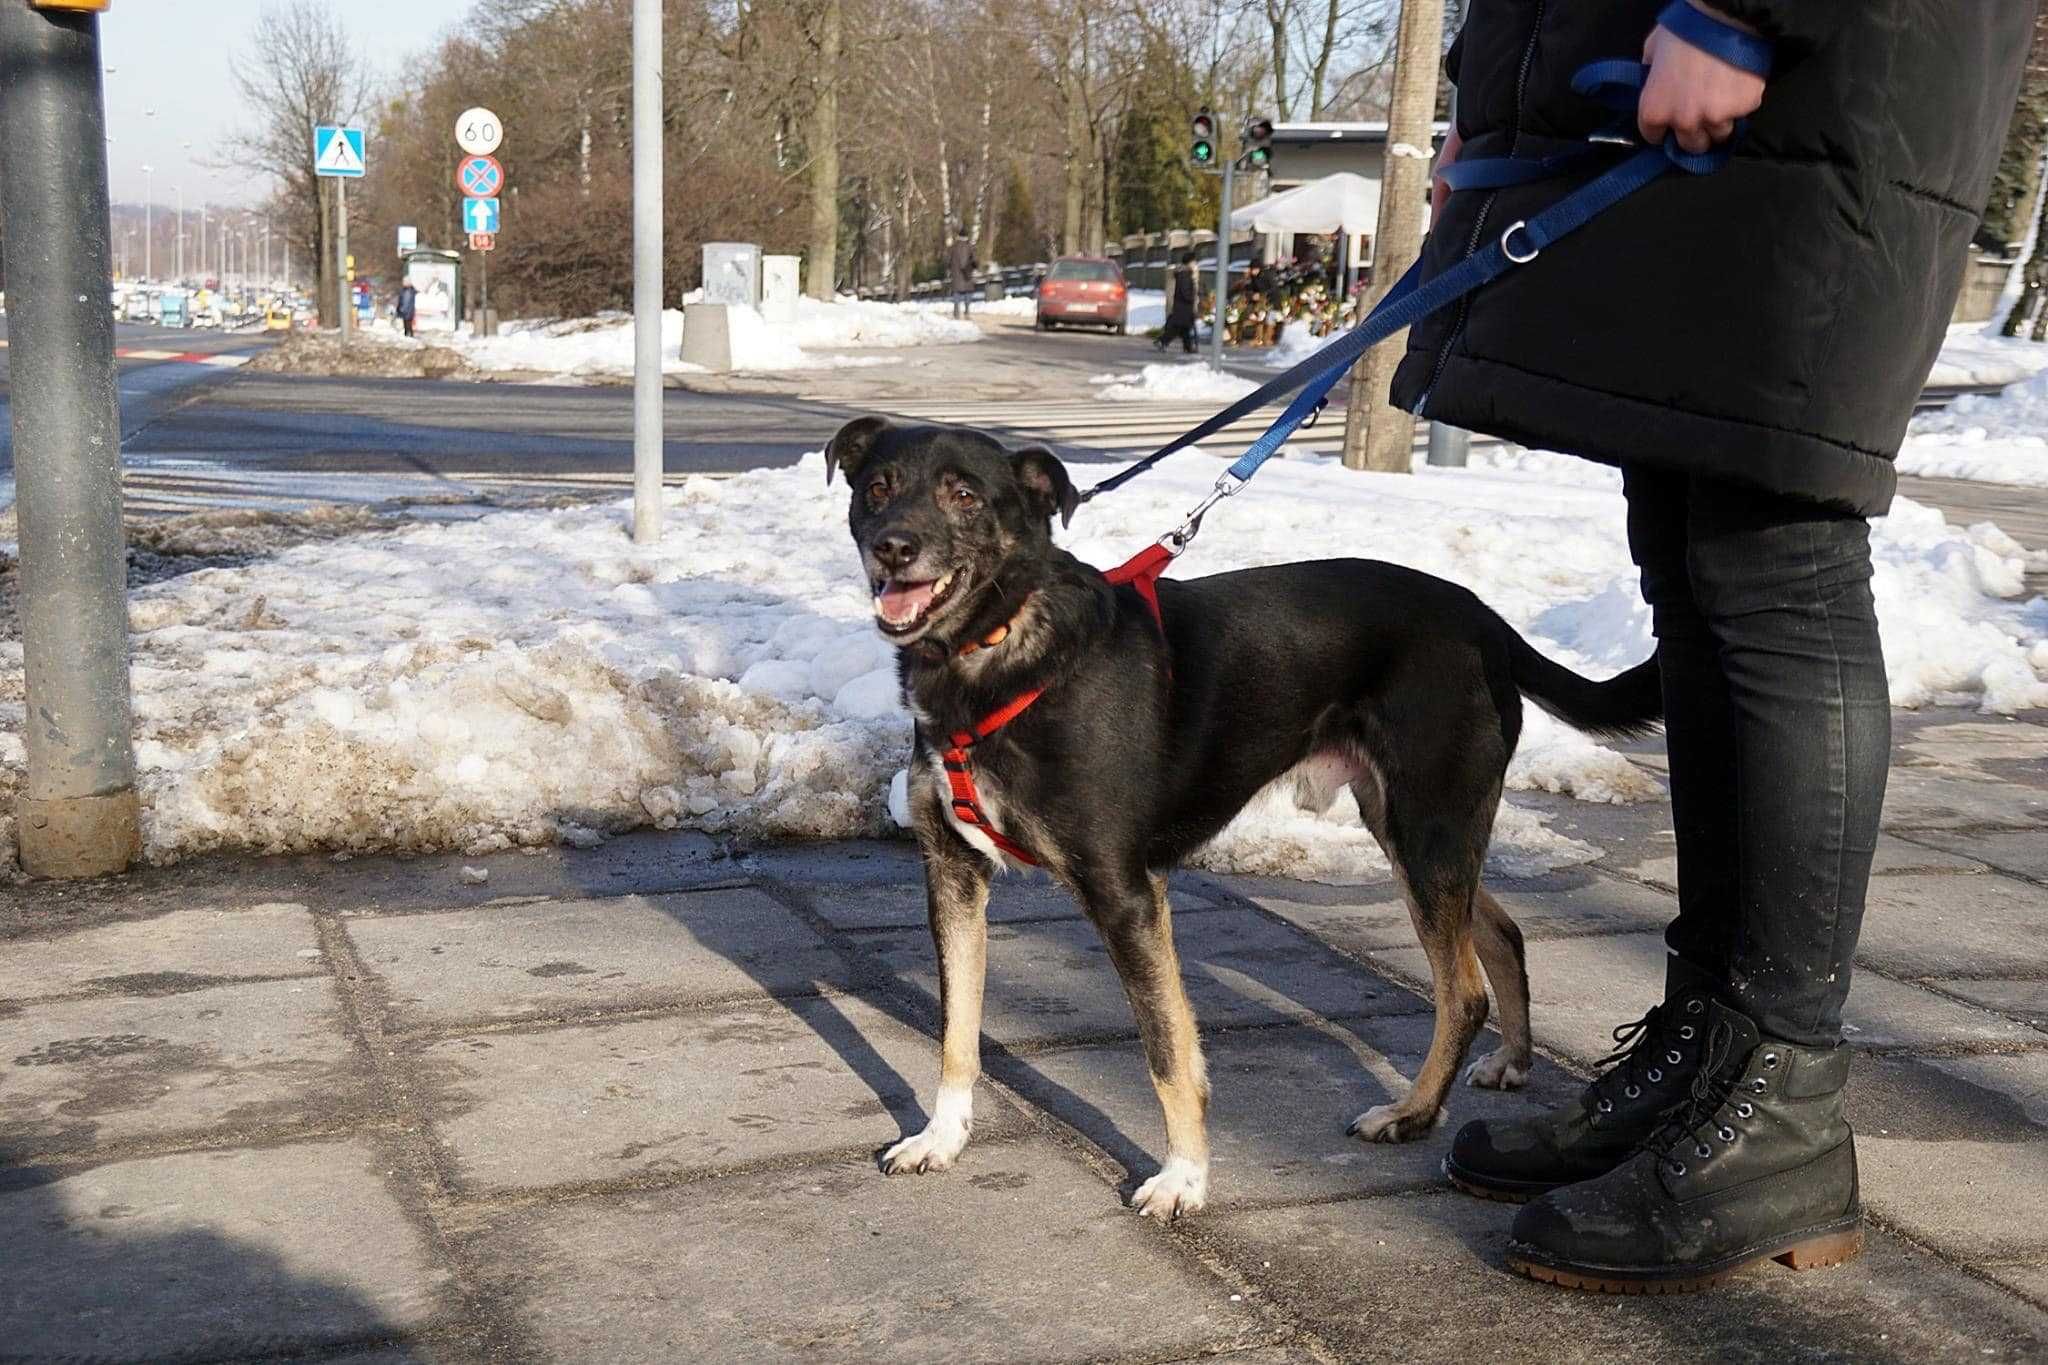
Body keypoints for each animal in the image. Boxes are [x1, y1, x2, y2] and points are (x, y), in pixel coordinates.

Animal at [835, 413, 1662, 1219]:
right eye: (877, 485)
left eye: (965, 495)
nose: (893, 547)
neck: (995, 652)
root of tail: (1487, 619)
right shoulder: (953, 875)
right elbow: (956, 1031)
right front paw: (942, 1137)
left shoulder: (1126, 895)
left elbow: (1167, 1048)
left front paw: (1185, 1178)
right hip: (1417, 828)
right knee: (1500, 929)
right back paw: (1514, 1060)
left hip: (1428, 825)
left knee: (1462, 989)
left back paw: (1412, 1113)